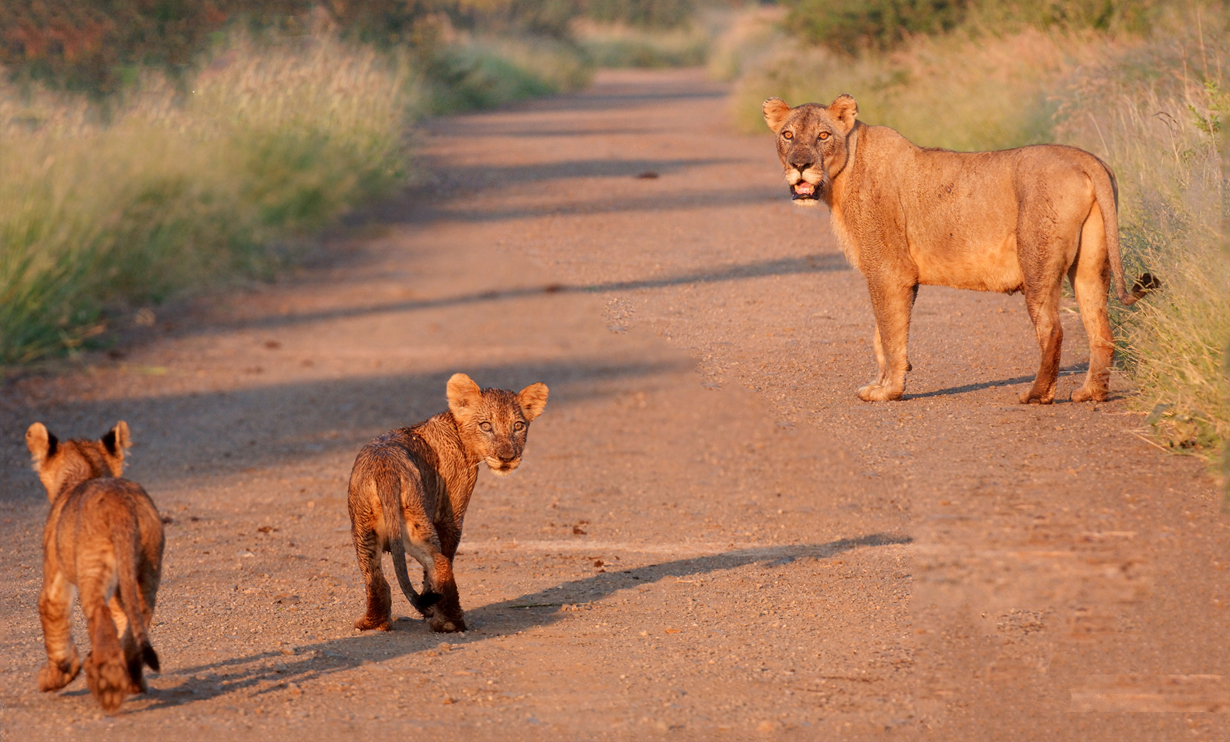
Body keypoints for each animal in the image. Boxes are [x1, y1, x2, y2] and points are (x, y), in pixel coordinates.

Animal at [26, 421, 164, 713]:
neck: (86, 471)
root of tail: (120, 504)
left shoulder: (54, 571)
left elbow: (52, 613)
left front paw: (54, 678)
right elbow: (122, 620)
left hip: (93, 567)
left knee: (99, 616)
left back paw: (107, 684)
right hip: (146, 567)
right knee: (138, 619)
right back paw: (133, 680)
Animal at [348, 373, 548, 633]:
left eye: (518, 426)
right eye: (486, 425)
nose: (507, 458)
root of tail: (386, 470)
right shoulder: (450, 516)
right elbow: (444, 557)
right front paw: (433, 610)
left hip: (366, 527)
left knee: (374, 575)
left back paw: (373, 623)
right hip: (415, 521)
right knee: (441, 563)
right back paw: (450, 622)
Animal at [763, 95, 1156, 404]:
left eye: (823, 135)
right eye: (787, 135)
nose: (800, 165)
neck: (841, 177)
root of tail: (1086, 159)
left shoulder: (889, 270)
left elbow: (888, 333)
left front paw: (888, 391)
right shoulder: (897, 276)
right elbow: (882, 334)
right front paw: (885, 381)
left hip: (1037, 259)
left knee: (1053, 329)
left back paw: (1036, 395)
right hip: (1091, 265)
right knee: (1101, 330)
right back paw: (1091, 393)